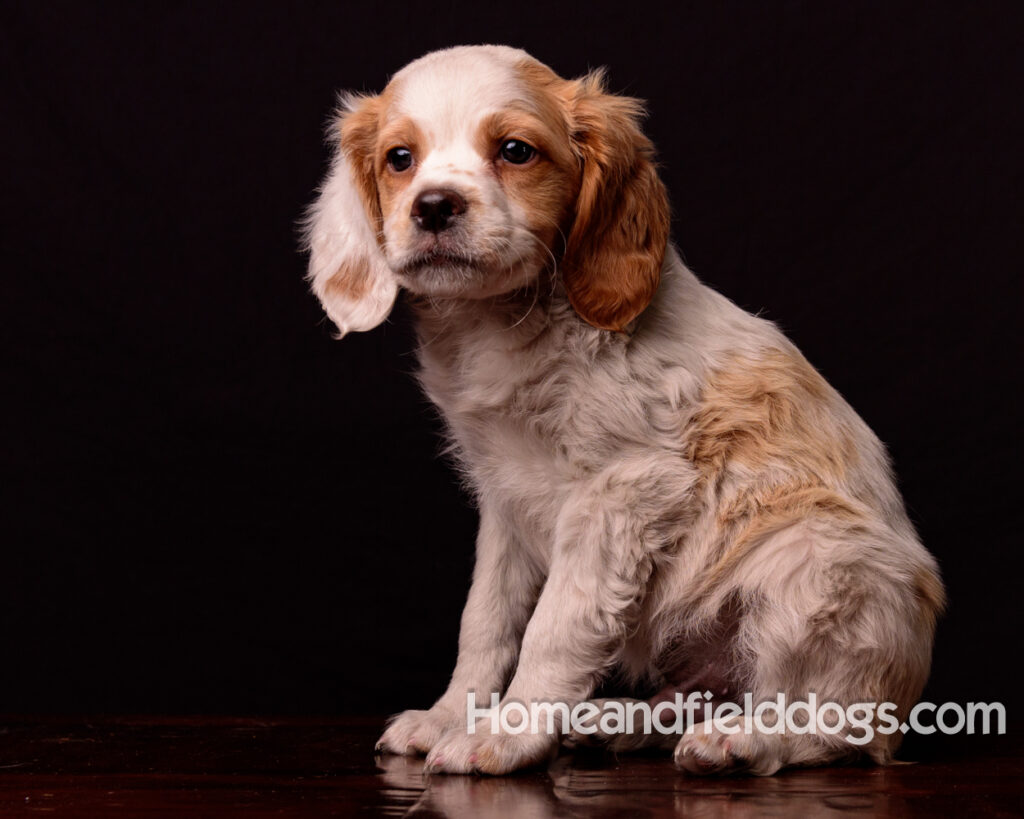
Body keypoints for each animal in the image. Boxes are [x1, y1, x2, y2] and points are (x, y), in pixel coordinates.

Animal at [303, 43, 942, 773]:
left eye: (516, 151)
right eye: (399, 159)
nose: (435, 206)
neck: (501, 325)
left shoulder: (623, 491)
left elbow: (554, 624)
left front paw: (507, 732)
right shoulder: (505, 500)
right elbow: (486, 620)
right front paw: (448, 716)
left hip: (813, 561)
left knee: (832, 723)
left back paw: (740, 738)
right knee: (702, 695)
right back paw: (620, 720)